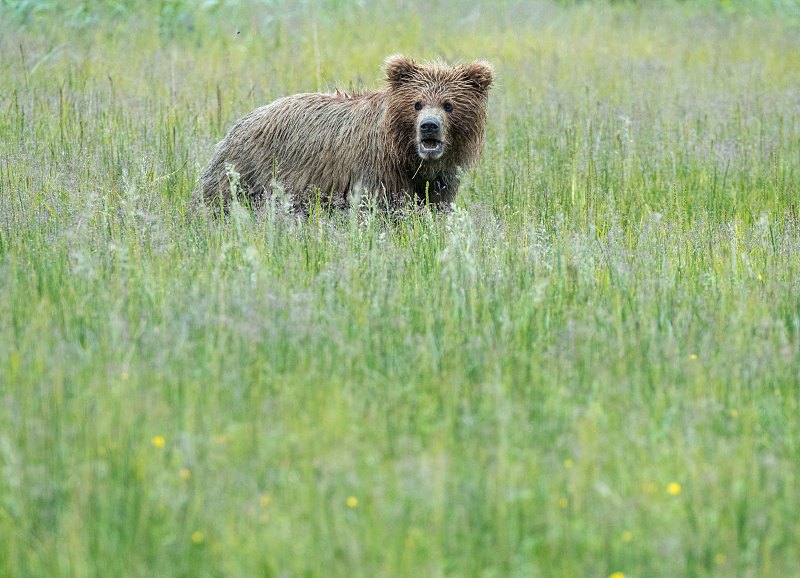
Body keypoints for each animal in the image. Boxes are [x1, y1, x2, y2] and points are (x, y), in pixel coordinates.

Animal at [195, 55, 494, 213]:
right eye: (417, 103)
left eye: (449, 105)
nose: (429, 126)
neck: (408, 157)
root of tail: (241, 122)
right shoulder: (376, 171)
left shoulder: (439, 180)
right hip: (248, 169)